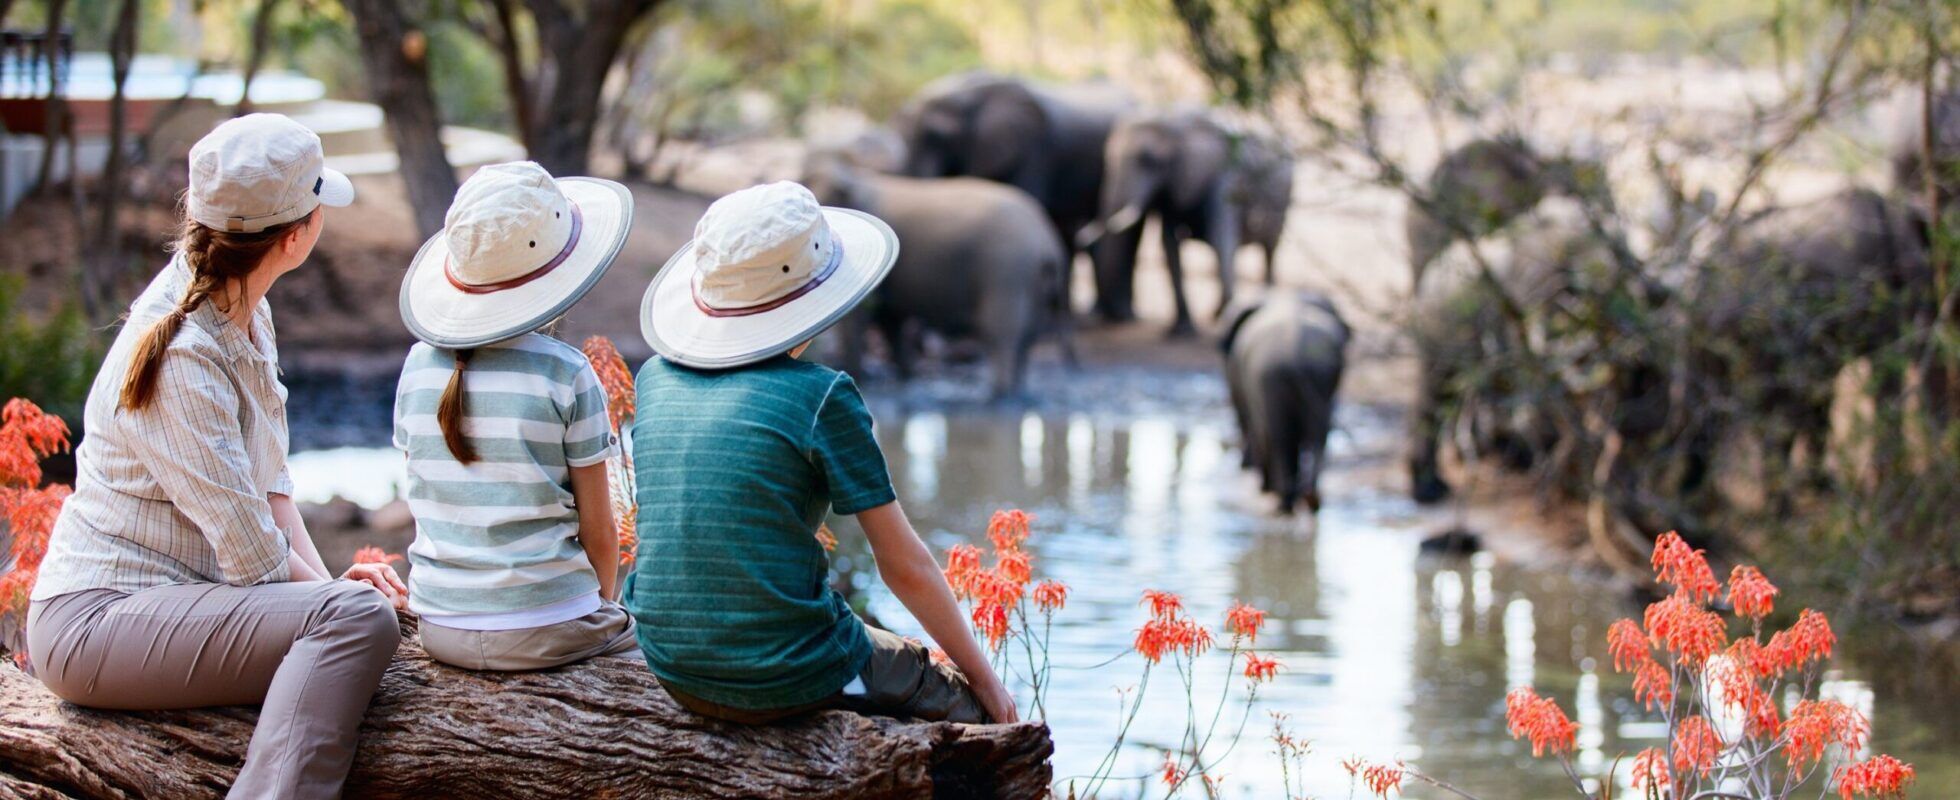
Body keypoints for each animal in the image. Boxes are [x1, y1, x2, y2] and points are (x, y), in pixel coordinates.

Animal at [799, 153, 1074, 400]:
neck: (854, 175)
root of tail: (1047, 242)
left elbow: (864, 320)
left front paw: (864, 378)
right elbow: (891, 320)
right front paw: (906, 378)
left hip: (1007, 270)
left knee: (1002, 333)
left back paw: (999, 396)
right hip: (1031, 279)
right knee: (1028, 336)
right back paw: (1016, 393)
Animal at [1089, 108, 1285, 331]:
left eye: (1148, 160)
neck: (1175, 123)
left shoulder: (1226, 177)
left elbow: (1221, 239)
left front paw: (1219, 315)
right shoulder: (1171, 190)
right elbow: (1169, 246)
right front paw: (1182, 329)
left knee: (1270, 249)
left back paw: (1267, 300)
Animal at [1223, 288, 1348, 513]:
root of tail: (1297, 354)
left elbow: (1254, 422)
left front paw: (1263, 486)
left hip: (1269, 376)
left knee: (1277, 435)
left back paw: (1283, 500)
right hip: (1316, 377)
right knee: (1318, 436)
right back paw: (1309, 499)